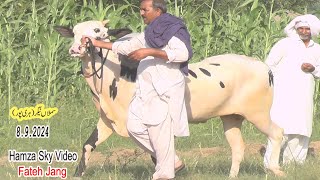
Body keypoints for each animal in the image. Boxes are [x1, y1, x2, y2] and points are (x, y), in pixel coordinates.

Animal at [53, 20, 284, 178]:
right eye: (74, 32)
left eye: (97, 32)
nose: (76, 48)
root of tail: (263, 66)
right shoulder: (107, 120)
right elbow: (87, 145)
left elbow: (155, 149)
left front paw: (172, 168)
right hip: (231, 117)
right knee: (238, 147)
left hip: (258, 113)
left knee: (277, 132)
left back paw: (275, 168)